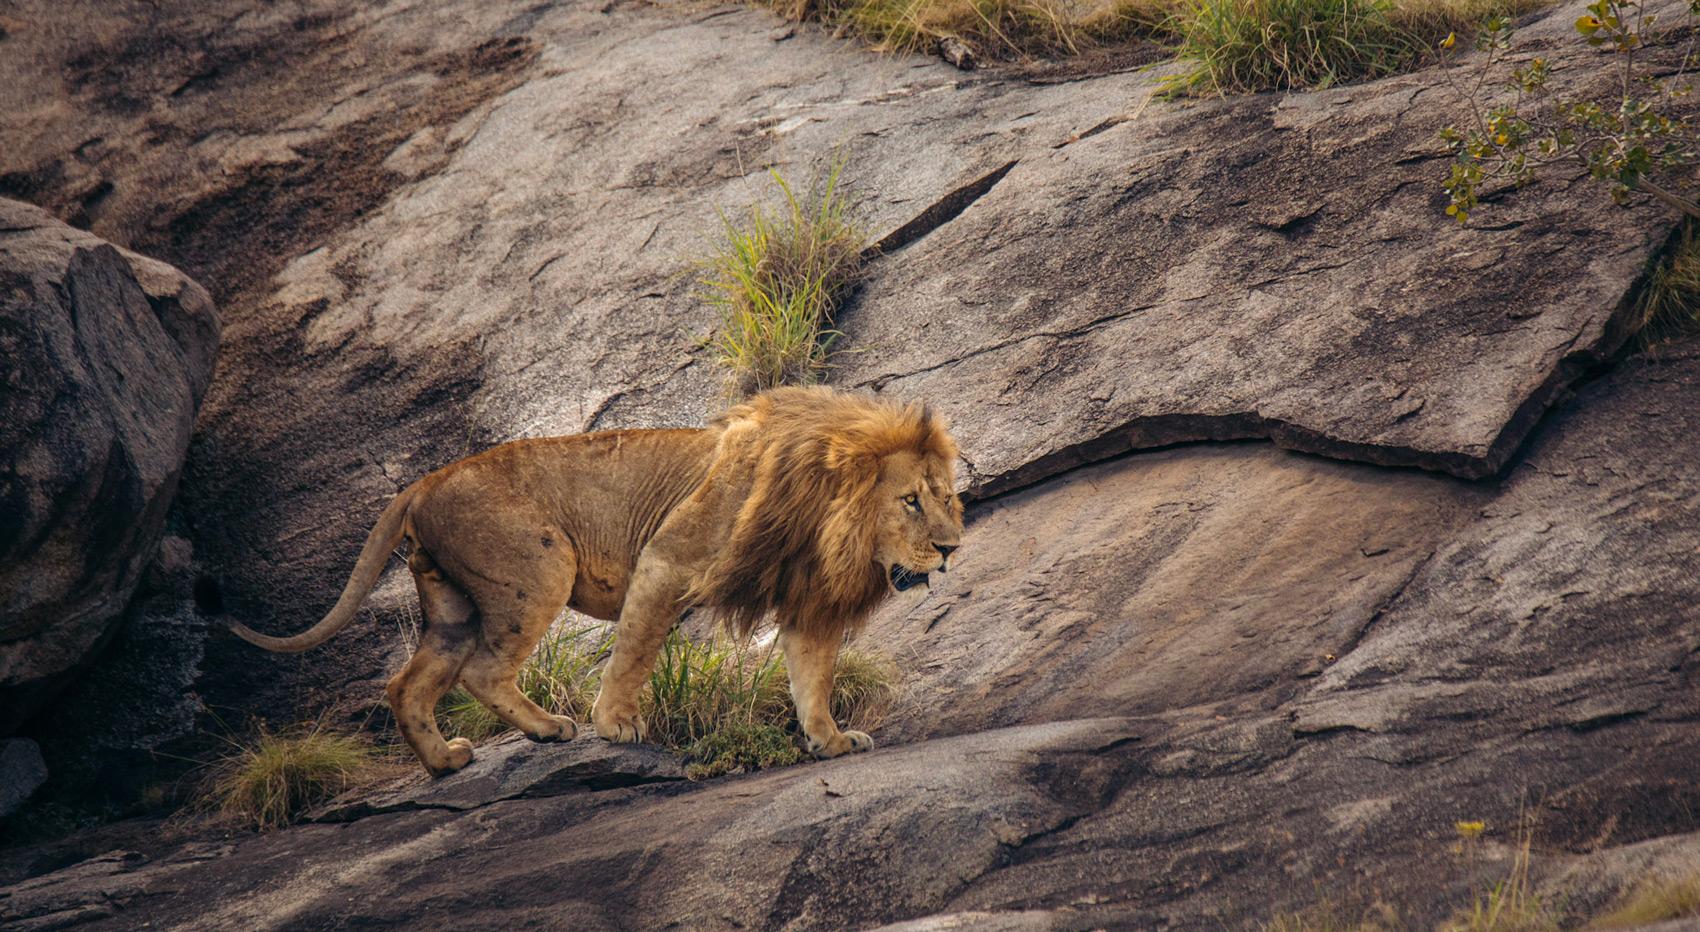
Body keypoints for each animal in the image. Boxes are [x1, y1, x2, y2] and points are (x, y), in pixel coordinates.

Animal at [231, 386, 964, 776]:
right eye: (910, 501)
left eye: (948, 497)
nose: (952, 548)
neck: (826, 517)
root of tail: (424, 481)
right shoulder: (669, 558)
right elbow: (634, 651)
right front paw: (615, 725)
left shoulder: (809, 603)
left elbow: (813, 677)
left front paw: (831, 740)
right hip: (540, 567)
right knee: (483, 671)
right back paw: (550, 728)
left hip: (452, 604)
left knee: (407, 684)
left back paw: (445, 762)